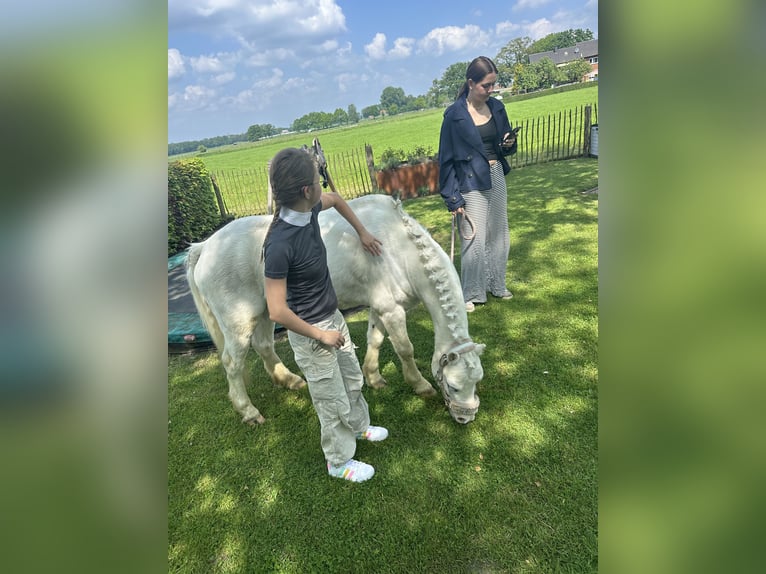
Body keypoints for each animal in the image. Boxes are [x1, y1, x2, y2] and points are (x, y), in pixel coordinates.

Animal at [187, 196, 486, 426]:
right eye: (454, 386)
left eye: (477, 381)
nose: (465, 418)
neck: (397, 248)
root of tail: (205, 247)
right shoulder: (393, 311)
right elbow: (405, 349)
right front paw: (420, 384)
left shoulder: (381, 306)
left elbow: (375, 339)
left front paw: (373, 377)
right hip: (239, 320)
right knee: (232, 363)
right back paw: (248, 411)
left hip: (263, 311)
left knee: (263, 345)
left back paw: (289, 380)